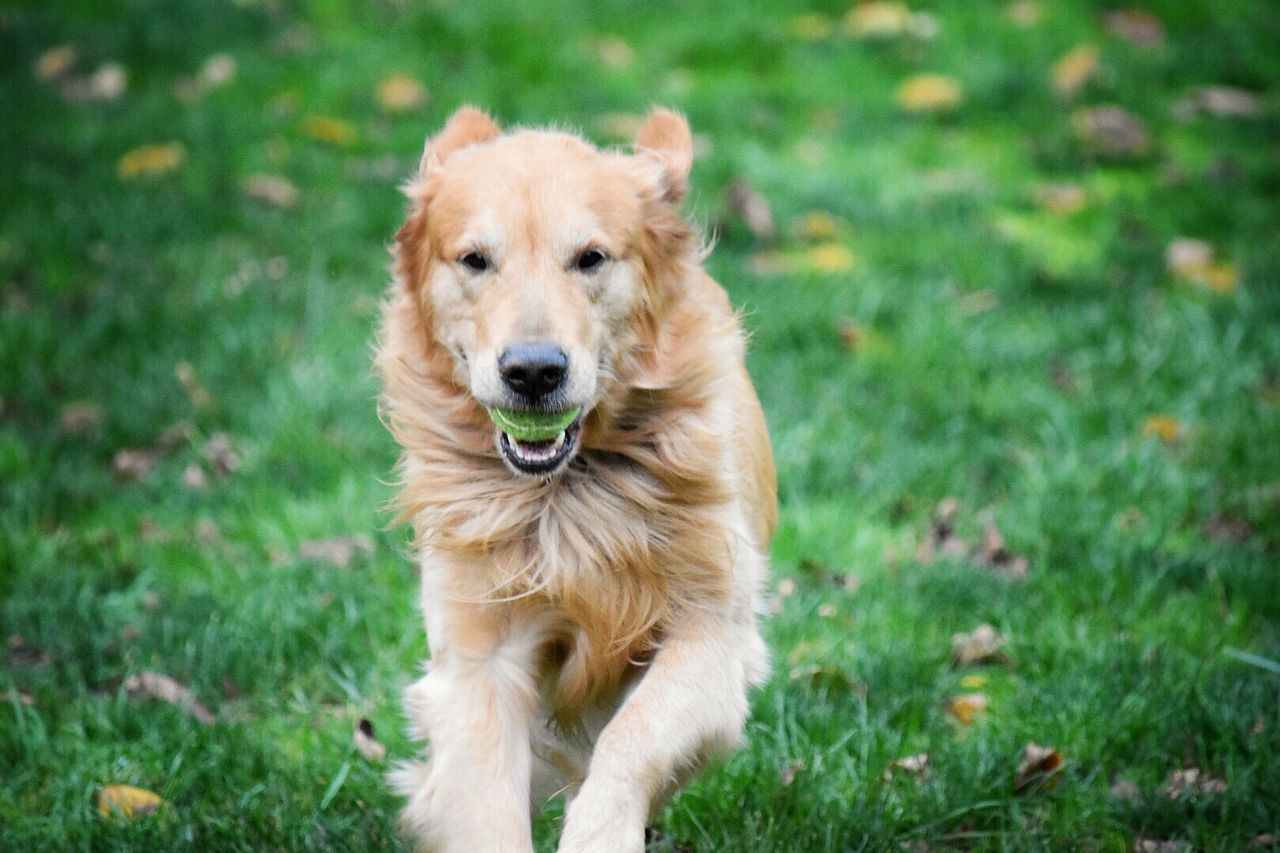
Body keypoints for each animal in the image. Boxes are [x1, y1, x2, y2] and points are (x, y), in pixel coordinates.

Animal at [373, 106, 773, 850]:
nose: (533, 371)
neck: (568, 496)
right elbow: (486, 802)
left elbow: (632, 738)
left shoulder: (712, 635)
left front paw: (601, 831)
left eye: (590, 257)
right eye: (475, 260)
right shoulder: (479, 656)